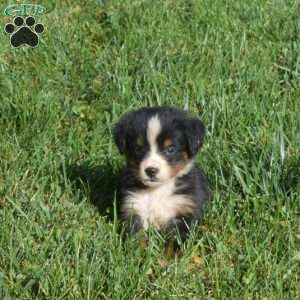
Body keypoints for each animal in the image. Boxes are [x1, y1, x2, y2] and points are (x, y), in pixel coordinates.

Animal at [112, 105, 209, 244]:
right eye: (138, 149)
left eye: (170, 149)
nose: (151, 170)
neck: (158, 190)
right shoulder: (133, 208)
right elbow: (136, 241)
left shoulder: (184, 213)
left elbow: (175, 243)